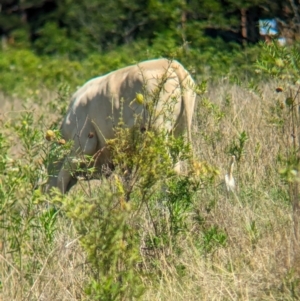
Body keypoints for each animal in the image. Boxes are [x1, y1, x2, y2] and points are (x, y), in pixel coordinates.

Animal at [47, 58, 196, 192]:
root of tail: (171, 63)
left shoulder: (80, 147)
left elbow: (61, 180)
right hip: (179, 133)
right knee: (176, 168)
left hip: (159, 132)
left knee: (167, 168)